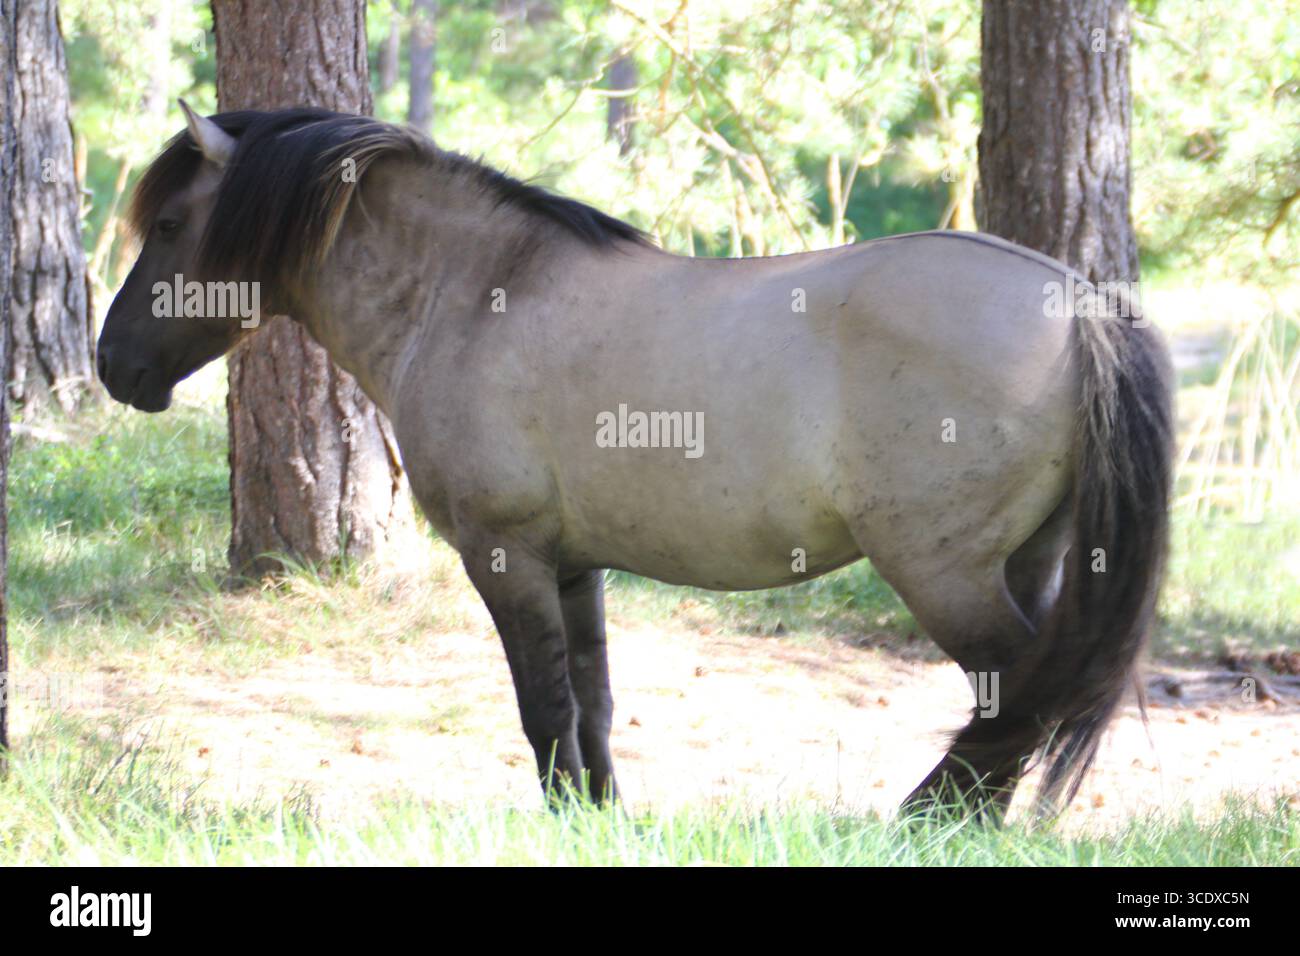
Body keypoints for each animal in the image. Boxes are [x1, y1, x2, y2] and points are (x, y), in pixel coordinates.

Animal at [97, 103, 1174, 817]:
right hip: (1026, 559)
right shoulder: (575, 565)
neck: (474, 292)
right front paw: (598, 818)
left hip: (943, 569)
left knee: (1018, 689)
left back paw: (925, 818)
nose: (112, 364)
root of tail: (1077, 304)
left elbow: (542, 705)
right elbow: (593, 703)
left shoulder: (505, 555)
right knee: (1025, 693)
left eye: (169, 224)